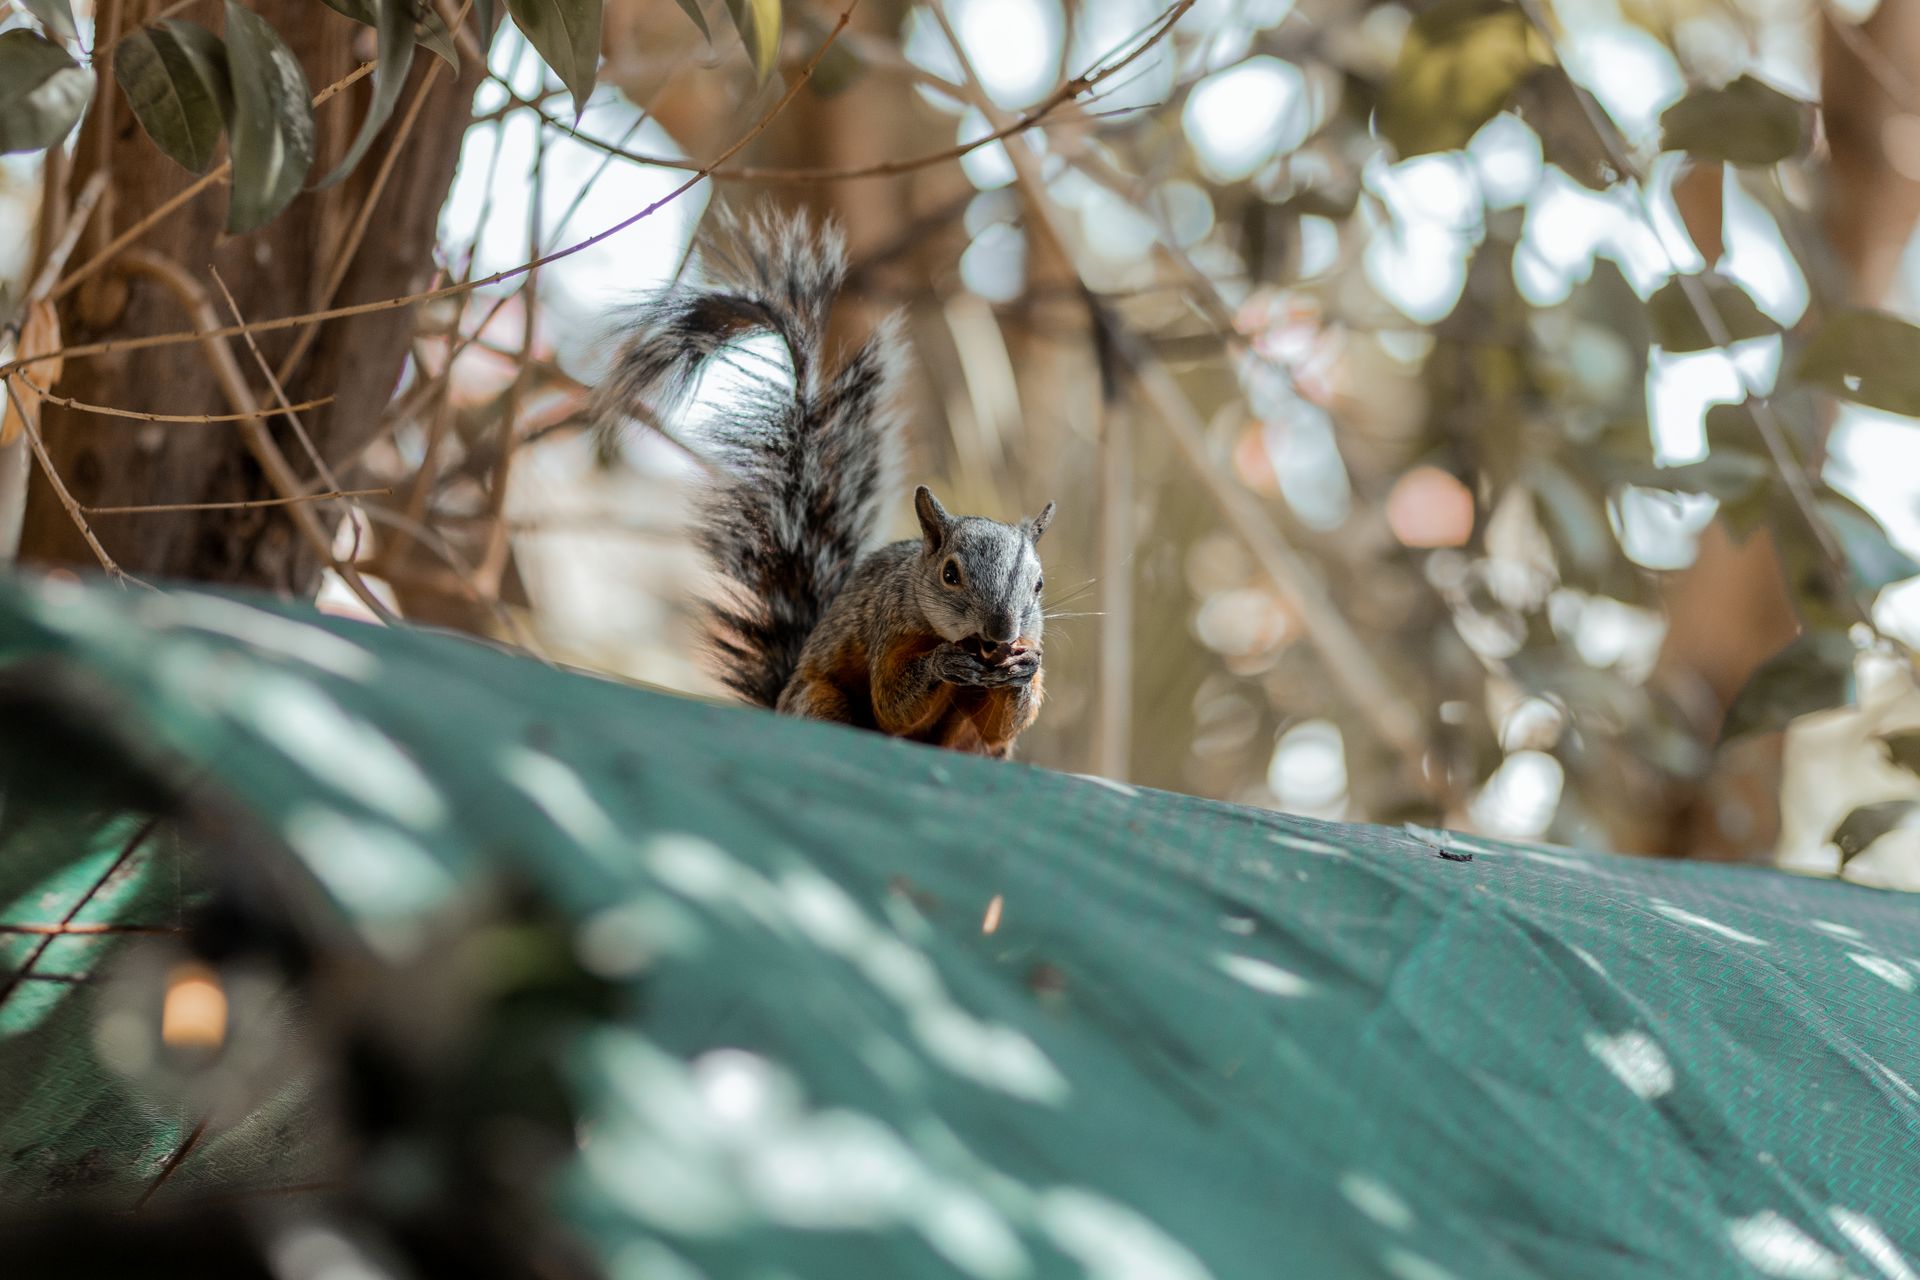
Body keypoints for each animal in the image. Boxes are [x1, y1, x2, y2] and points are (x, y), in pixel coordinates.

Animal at [595, 207, 1055, 759]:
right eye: (949, 574)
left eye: (1039, 584)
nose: (1002, 631)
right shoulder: (888, 631)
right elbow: (893, 702)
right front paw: (941, 664)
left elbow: (1000, 723)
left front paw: (1023, 669)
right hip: (820, 699)